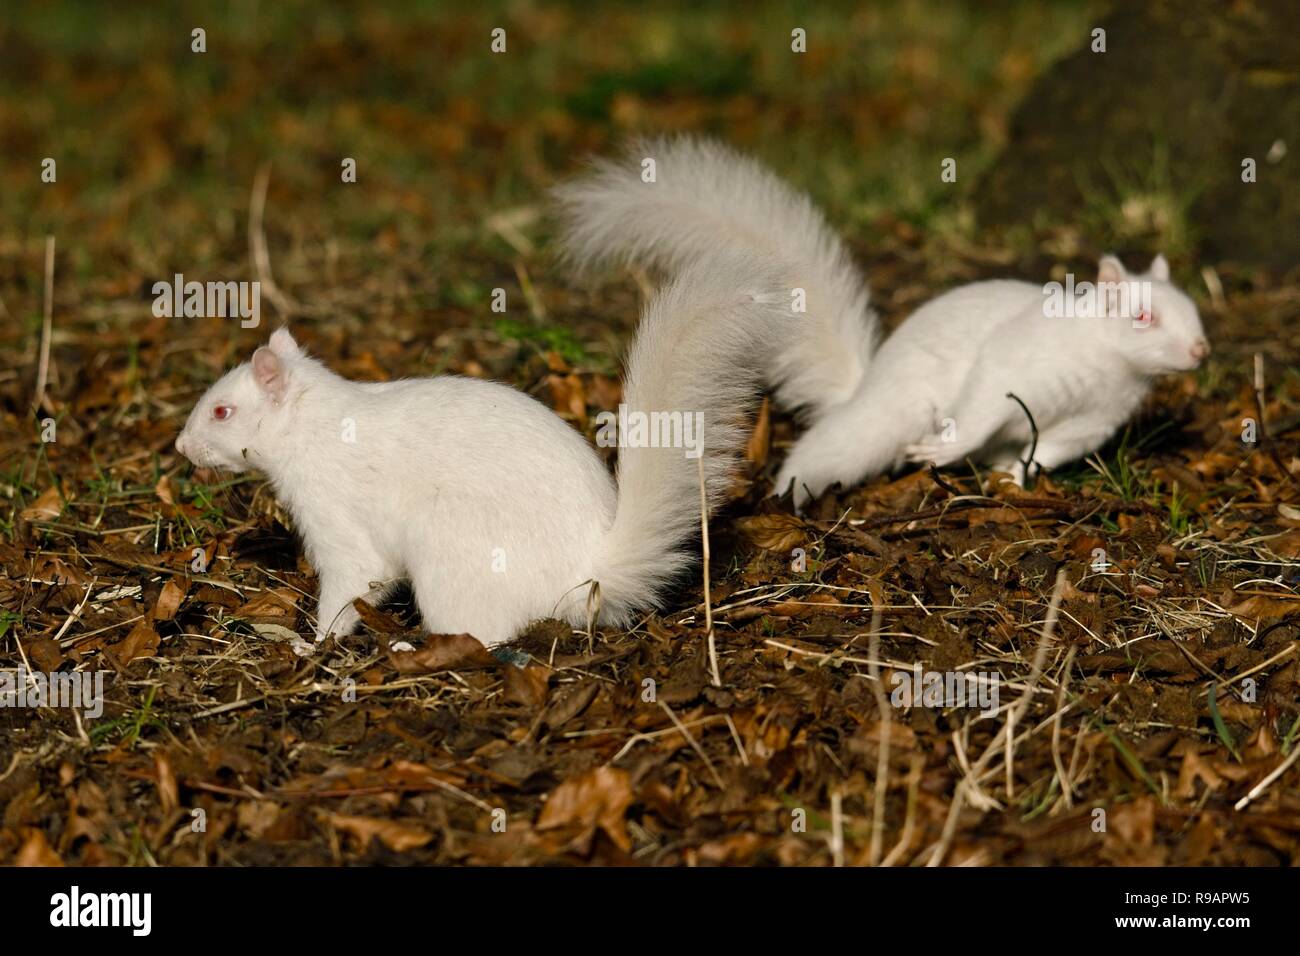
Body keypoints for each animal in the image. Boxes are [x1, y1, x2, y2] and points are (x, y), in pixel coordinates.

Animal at [174, 253, 790, 651]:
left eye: (222, 412)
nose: (181, 446)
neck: (312, 425)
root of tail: (586, 575)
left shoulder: (337, 514)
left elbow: (356, 579)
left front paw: (314, 643)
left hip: (453, 550)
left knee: (488, 635)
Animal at [555, 136, 1210, 510]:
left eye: (1196, 311)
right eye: (1144, 316)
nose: (1201, 351)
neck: (1107, 364)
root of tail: (864, 388)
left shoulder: (1093, 422)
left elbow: (1045, 450)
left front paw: (1014, 475)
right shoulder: (1016, 364)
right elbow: (980, 407)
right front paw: (943, 450)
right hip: (879, 421)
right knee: (832, 446)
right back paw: (794, 490)